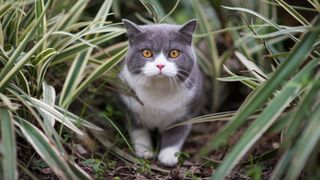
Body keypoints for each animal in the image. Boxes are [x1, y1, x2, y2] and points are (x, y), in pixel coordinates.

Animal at [119, 19, 204, 166]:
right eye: (146, 53)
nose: (160, 65)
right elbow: (138, 130)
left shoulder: (186, 113)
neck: (159, 90)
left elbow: (176, 135)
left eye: (174, 53)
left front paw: (168, 157)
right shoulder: (129, 106)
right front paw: (145, 151)